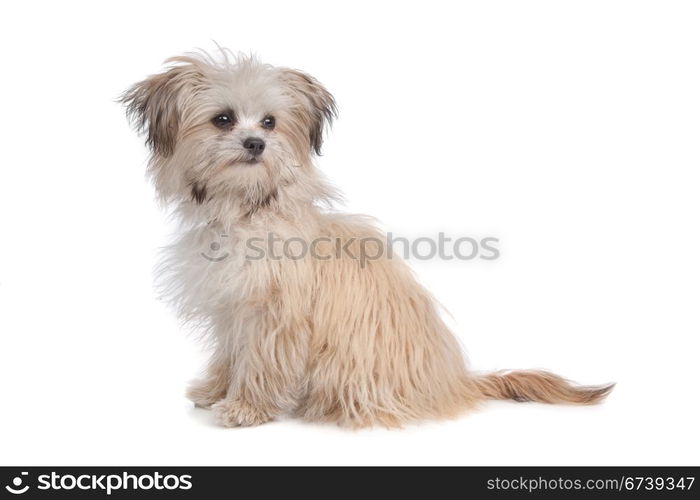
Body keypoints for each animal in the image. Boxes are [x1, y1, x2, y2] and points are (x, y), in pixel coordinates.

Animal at [121, 48, 612, 428]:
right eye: (222, 120)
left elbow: (261, 362)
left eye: (270, 122)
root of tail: (452, 381)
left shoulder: (275, 316)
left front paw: (245, 407)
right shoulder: (231, 309)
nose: (255, 144)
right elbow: (229, 353)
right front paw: (216, 390)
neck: (249, 210)